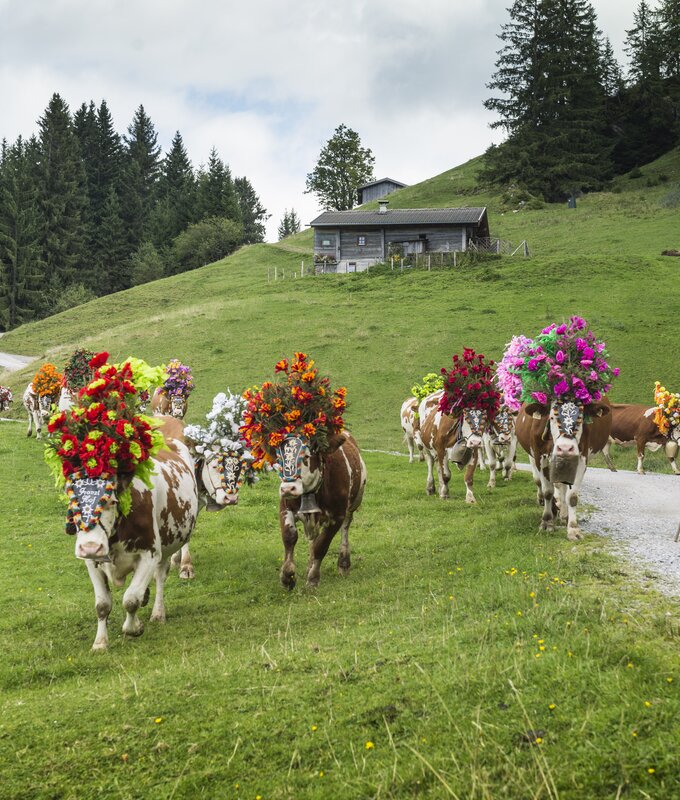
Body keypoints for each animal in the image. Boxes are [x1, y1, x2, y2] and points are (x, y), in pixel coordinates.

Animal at [67, 416, 199, 652]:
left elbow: (131, 599)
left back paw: (158, 613)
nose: (91, 547)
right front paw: (100, 643)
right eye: (73, 503)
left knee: (160, 576)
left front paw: (134, 627)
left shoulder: (149, 554)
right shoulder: (91, 562)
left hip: (166, 546)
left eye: (111, 501)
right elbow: (102, 605)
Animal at [274, 432, 366, 588]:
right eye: (279, 458)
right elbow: (289, 536)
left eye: (306, 456)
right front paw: (287, 576)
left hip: (353, 505)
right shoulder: (285, 507)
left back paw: (344, 563)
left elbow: (321, 546)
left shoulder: (337, 517)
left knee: (345, 529)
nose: (287, 489)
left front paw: (313, 579)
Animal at [516, 398, 612, 540]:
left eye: (581, 418)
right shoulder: (540, 456)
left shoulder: (581, 458)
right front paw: (547, 522)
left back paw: (564, 515)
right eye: (551, 417)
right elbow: (547, 492)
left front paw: (573, 528)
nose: (565, 448)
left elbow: (572, 496)